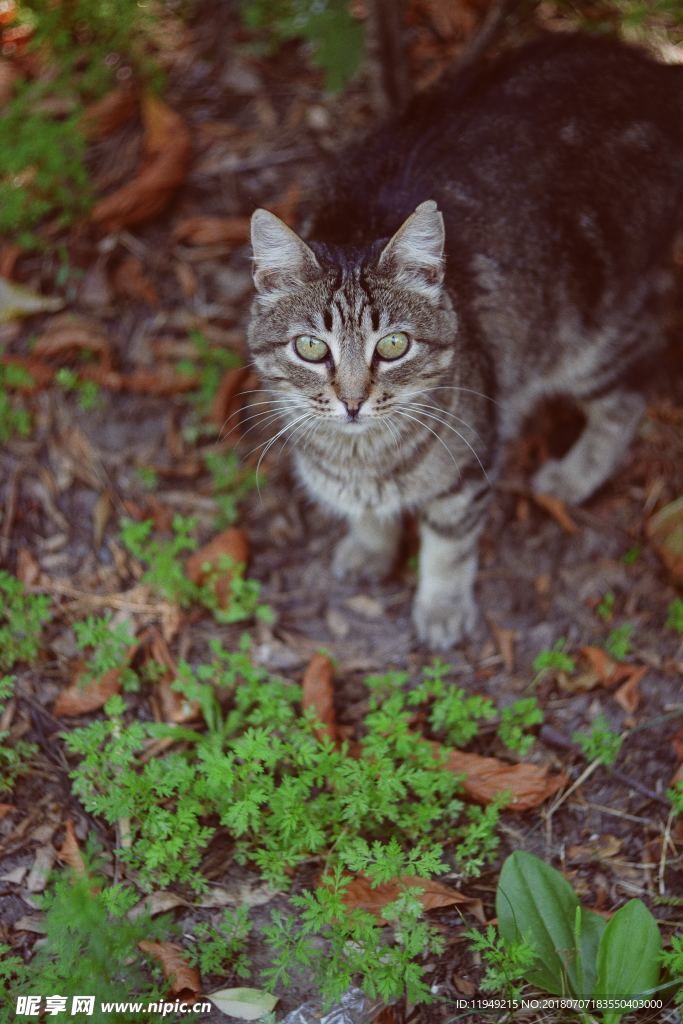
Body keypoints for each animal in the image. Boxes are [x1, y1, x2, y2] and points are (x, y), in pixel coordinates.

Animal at [245, 36, 683, 651]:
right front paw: (370, 548)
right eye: (311, 348)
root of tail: (652, 69)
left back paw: (573, 475)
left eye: (393, 345)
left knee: (632, 388)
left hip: (590, 335)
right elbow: (370, 517)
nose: (352, 401)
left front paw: (442, 608)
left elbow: (448, 549)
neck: (362, 458)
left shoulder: (466, 477)